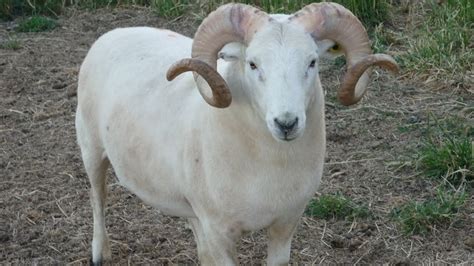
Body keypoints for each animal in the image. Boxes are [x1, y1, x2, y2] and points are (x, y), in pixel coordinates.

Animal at [76, 2, 398, 266]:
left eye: (312, 62)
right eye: (253, 63)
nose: (286, 123)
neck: (270, 166)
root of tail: (115, 33)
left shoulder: (285, 224)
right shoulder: (220, 233)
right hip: (91, 148)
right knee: (97, 197)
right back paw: (99, 253)